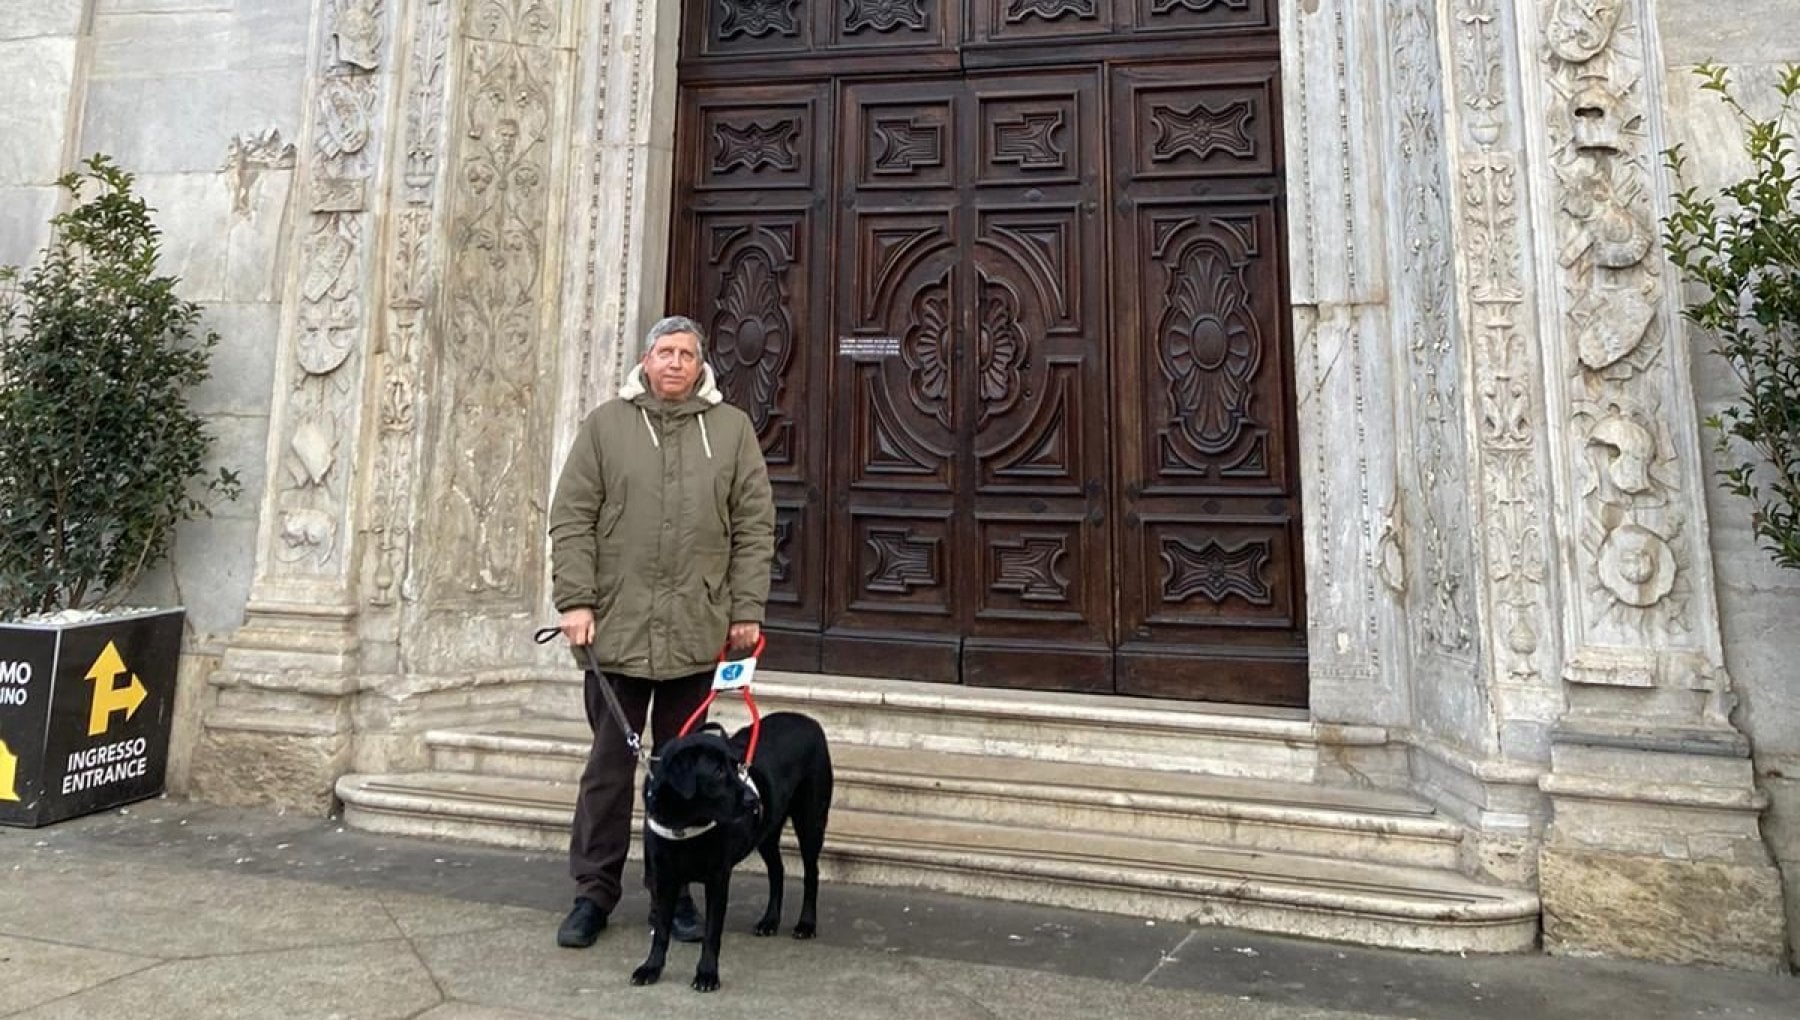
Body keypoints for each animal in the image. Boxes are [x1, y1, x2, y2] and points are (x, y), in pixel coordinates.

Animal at [630, 715, 831, 993]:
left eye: (737, 768)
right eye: (718, 772)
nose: (753, 800)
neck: (686, 822)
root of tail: (811, 721)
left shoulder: (717, 880)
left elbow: (712, 934)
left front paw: (706, 974)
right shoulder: (664, 879)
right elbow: (661, 931)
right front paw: (651, 968)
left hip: (810, 820)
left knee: (812, 873)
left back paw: (806, 924)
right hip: (767, 830)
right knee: (777, 870)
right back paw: (770, 920)